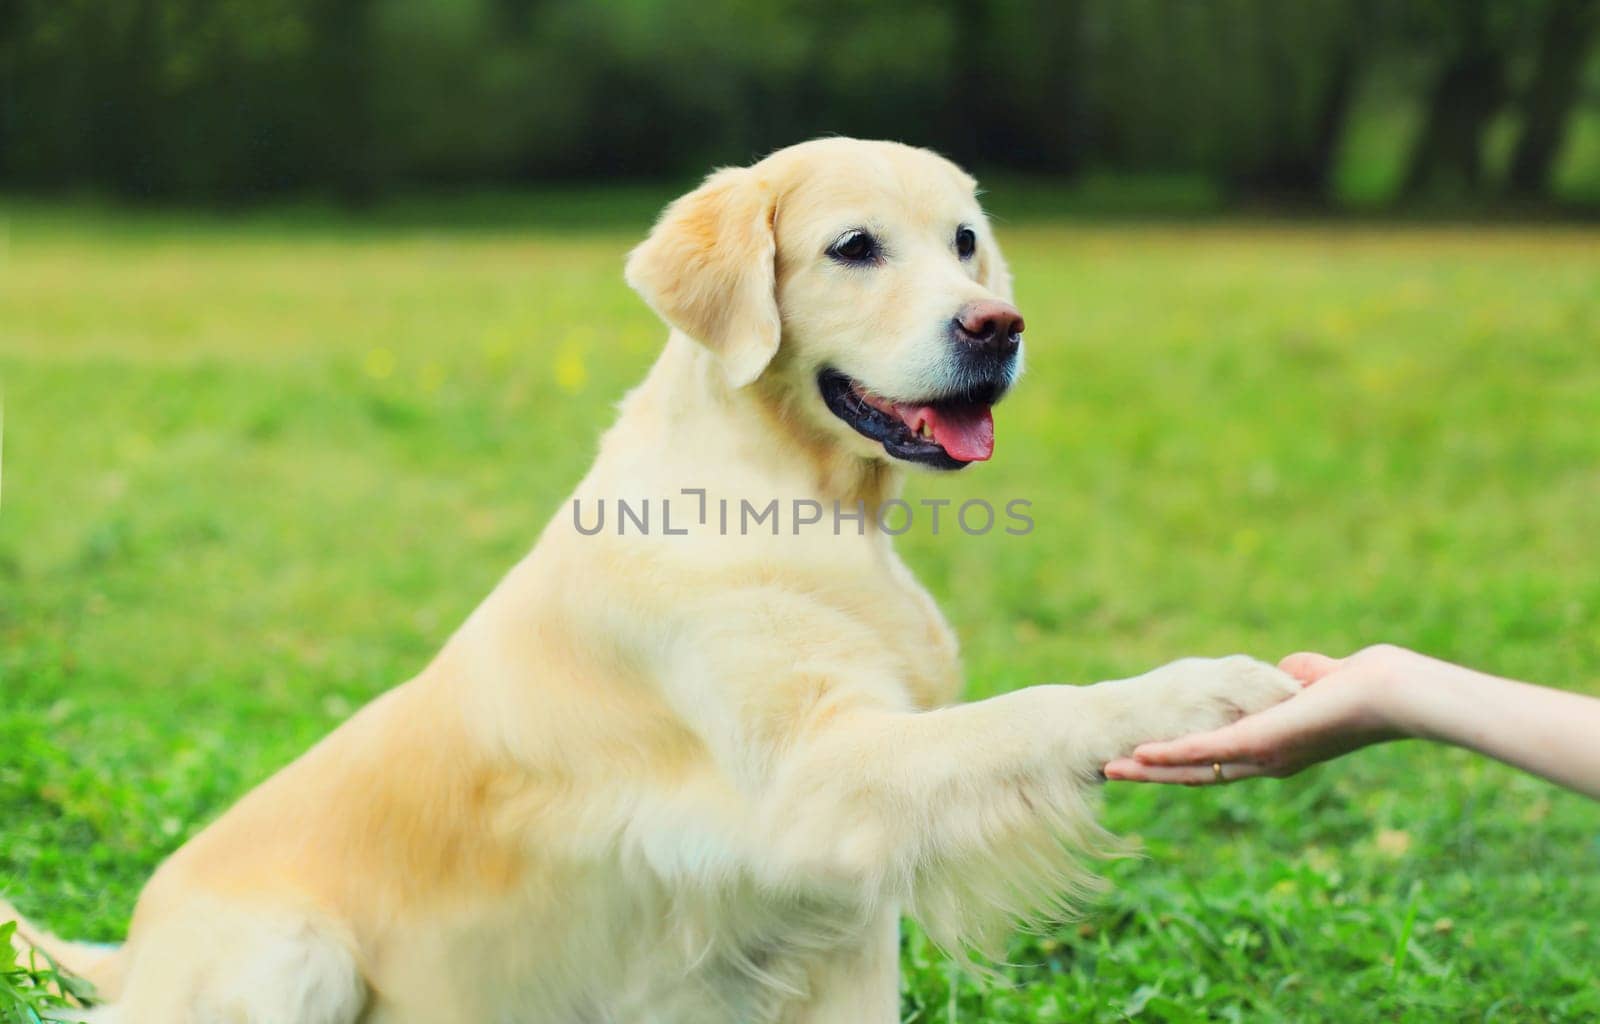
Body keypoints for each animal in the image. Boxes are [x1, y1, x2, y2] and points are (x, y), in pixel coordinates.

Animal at [9, 137, 1299, 1024]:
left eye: (964, 241)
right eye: (854, 247)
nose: (998, 326)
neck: (799, 498)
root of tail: (129, 951)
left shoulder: (844, 912)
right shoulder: (817, 787)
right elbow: (1035, 711)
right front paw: (1200, 688)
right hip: (296, 952)